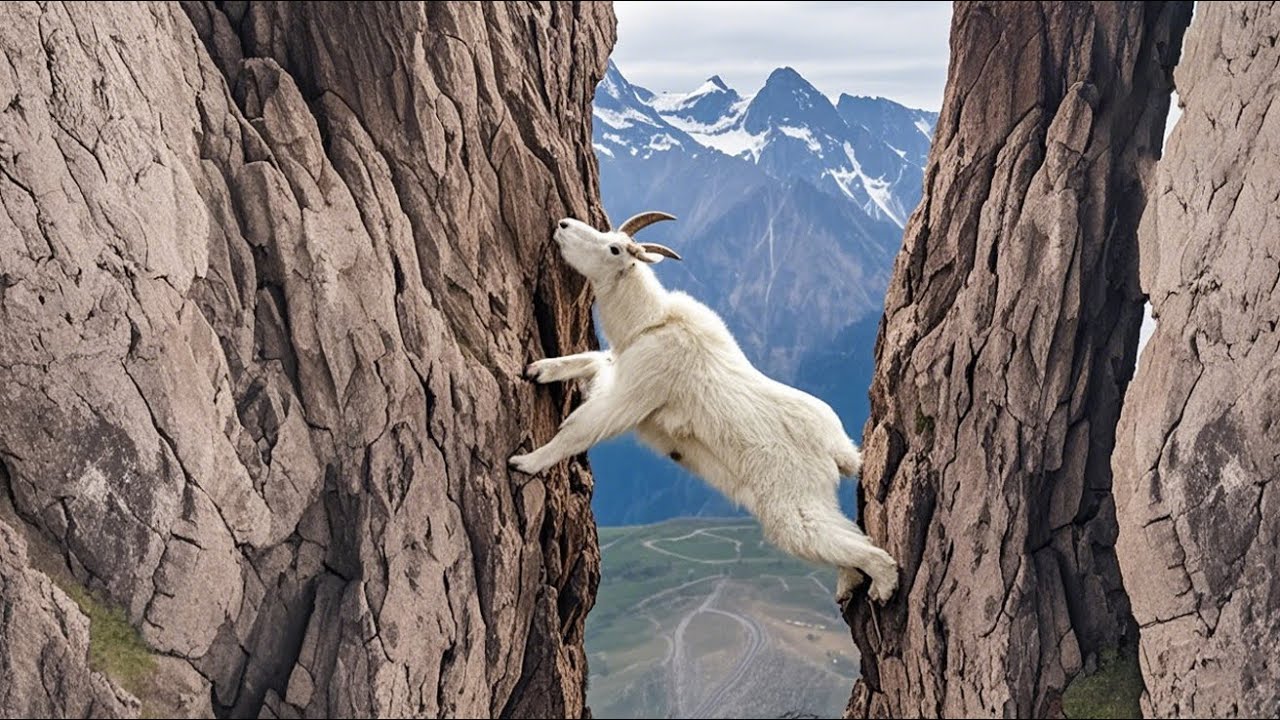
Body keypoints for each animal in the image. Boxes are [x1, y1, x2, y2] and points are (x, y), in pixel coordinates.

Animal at [509, 211, 898, 603]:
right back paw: (848, 584)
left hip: (790, 506)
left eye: (614, 248)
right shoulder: (621, 368)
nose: (562, 225)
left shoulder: (633, 393)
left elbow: (579, 429)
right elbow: (591, 360)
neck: (649, 322)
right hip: (812, 500)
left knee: (856, 547)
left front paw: (524, 462)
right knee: (846, 535)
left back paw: (884, 587)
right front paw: (538, 370)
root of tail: (839, 453)